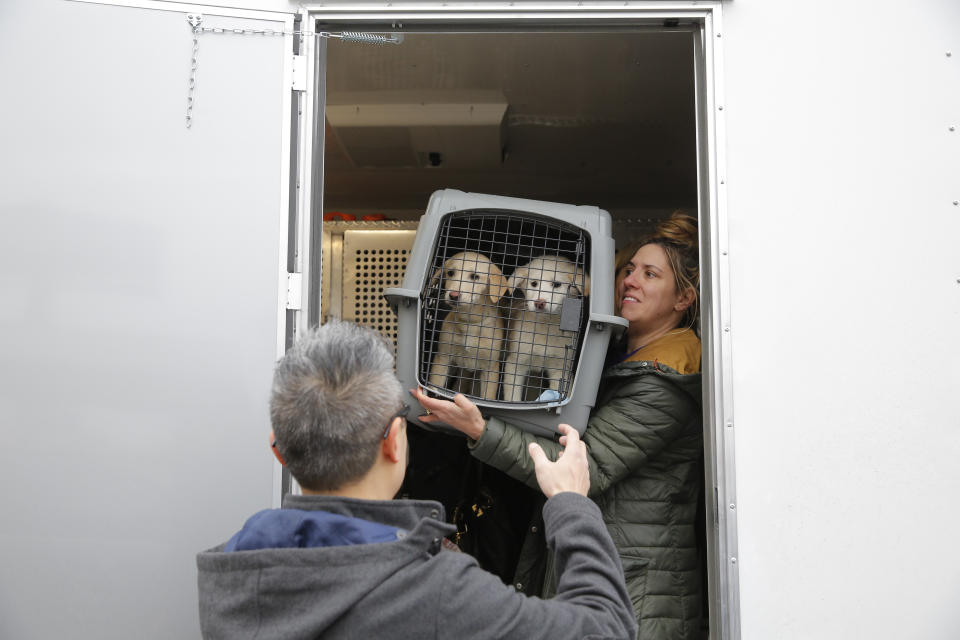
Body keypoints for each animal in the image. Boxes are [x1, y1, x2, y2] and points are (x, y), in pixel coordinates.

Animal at [424, 251, 506, 398]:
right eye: (450, 273)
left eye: (475, 276)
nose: (453, 295)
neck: (470, 322)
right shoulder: (442, 358)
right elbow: (435, 388)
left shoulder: (490, 369)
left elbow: (487, 396)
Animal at [498, 254, 588, 400]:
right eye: (534, 283)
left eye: (557, 284)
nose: (539, 303)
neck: (545, 326)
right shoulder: (515, 363)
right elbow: (513, 395)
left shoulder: (560, 369)